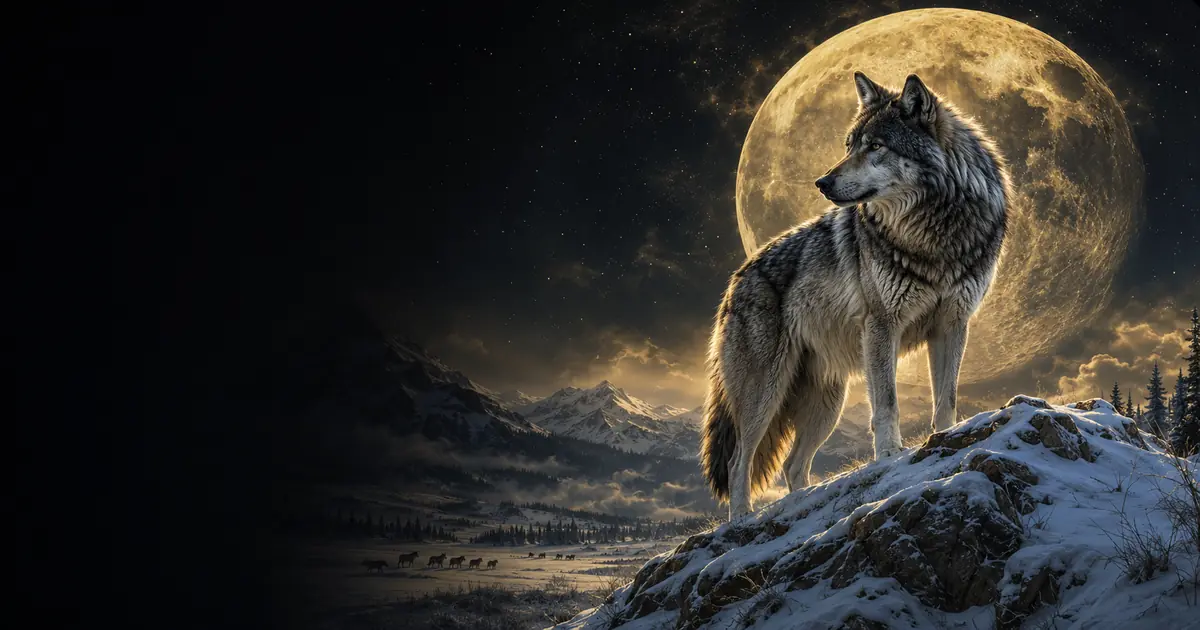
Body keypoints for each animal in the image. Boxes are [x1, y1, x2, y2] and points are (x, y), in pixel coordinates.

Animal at [701, 71, 1009, 519]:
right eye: (849, 145)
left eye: (875, 146)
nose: (822, 182)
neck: (934, 234)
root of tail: (734, 281)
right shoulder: (882, 325)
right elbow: (888, 403)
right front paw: (890, 457)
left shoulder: (953, 325)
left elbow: (946, 398)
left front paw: (945, 439)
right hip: (765, 392)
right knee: (738, 458)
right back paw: (741, 519)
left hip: (828, 402)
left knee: (793, 466)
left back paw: (800, 504)